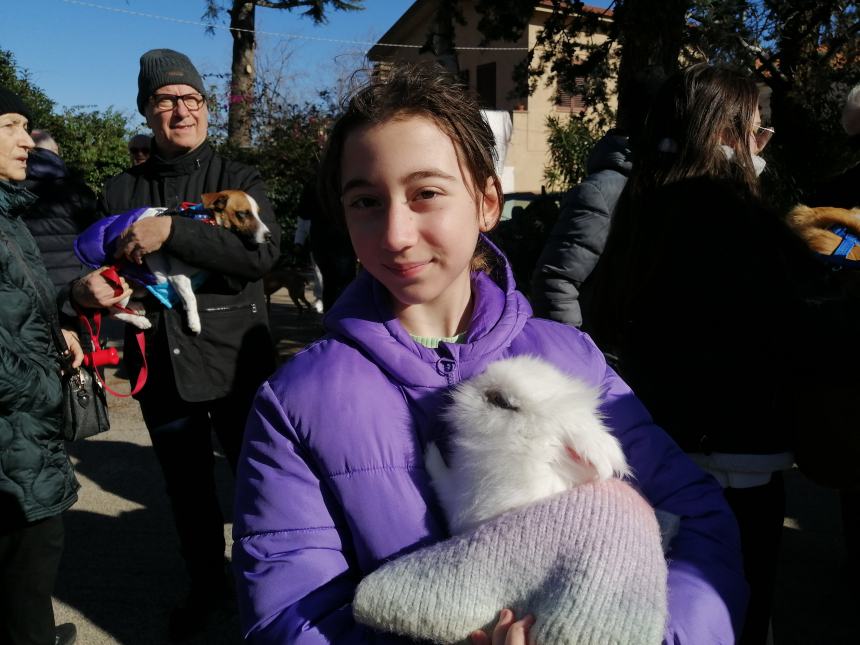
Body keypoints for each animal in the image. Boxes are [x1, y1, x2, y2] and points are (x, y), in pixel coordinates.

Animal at [112, 190, 270, 332]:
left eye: (258, 213)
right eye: (242, 214)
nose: (269, 236)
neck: (206, 219)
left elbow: (186, 298)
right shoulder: (178, 276)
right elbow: (191, 298)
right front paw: (194, 322)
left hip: (139, 289)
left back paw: (136, 307)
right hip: (121, 286)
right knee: (114, 313)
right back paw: (140, 321)